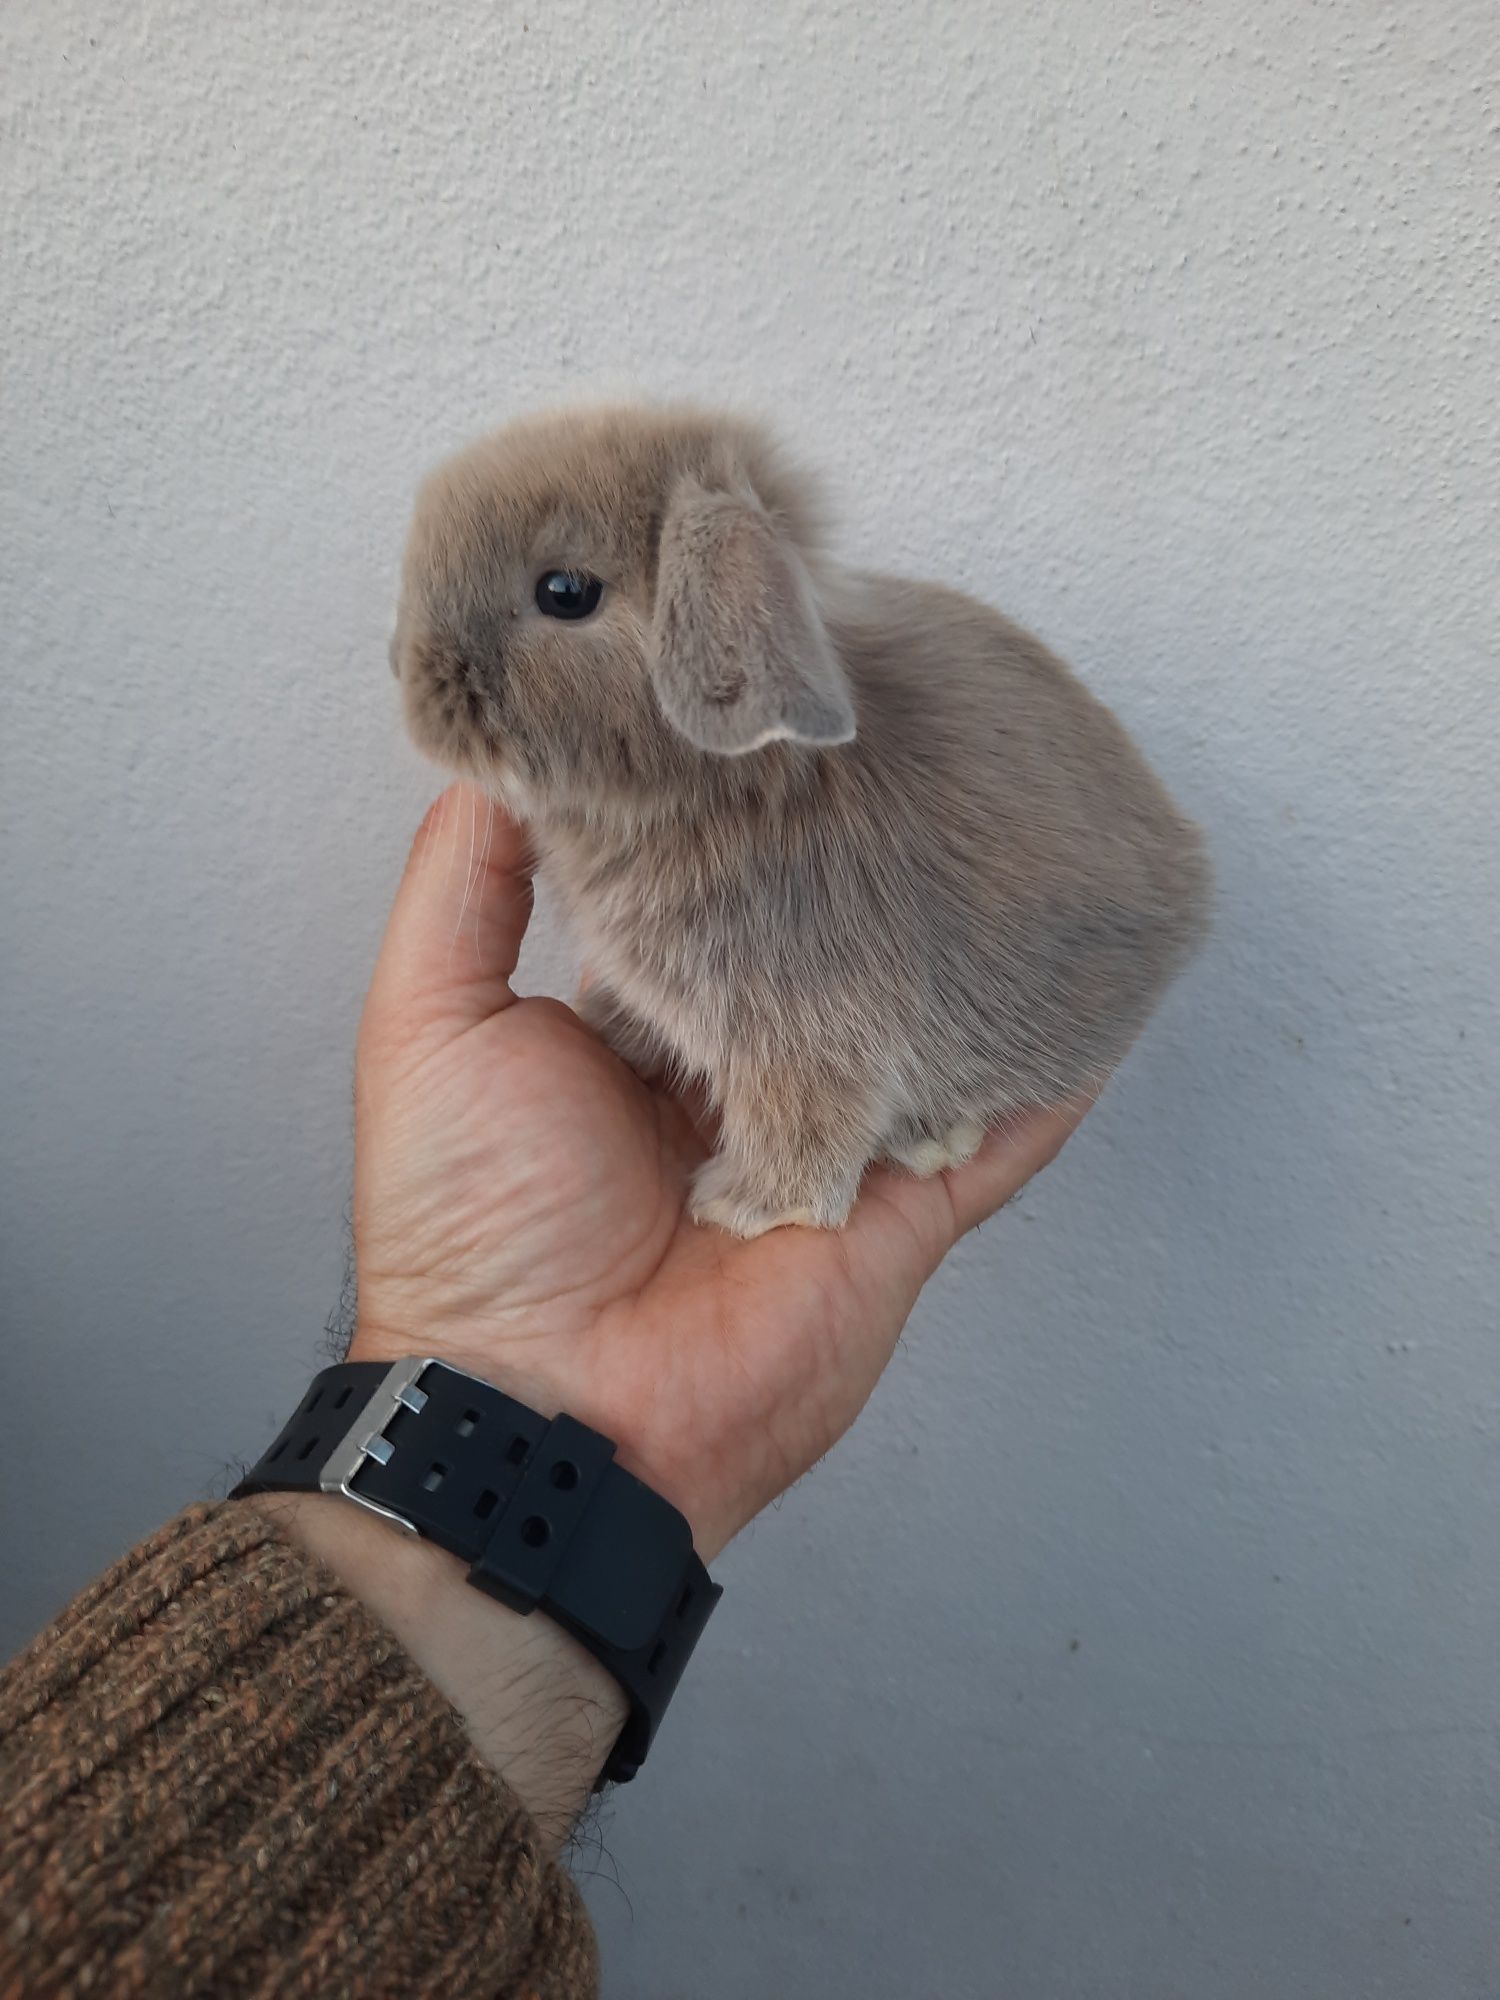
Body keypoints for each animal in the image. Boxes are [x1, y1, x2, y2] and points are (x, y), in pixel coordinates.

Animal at [394, 404, 1216, 1232]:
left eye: (565, 591)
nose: (405, 667)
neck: (726, 784)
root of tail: (1192, 874)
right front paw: (608, 1026)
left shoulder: (803, 1032)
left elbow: (802, 1127)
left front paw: (741, 1207)